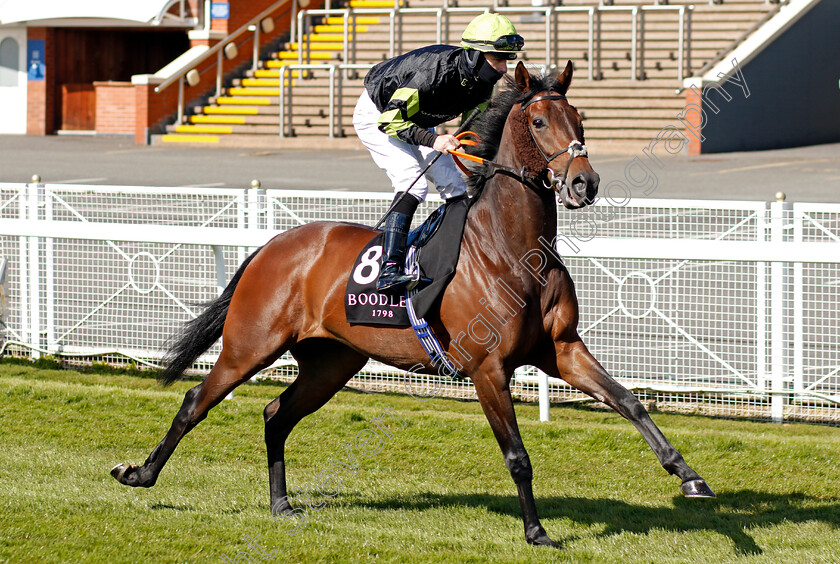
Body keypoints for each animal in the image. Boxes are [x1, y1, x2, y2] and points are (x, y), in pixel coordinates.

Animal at [111, 60, 712, 548]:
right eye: (540, 122)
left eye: (580, 118)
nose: (584, 183)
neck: (512, 249)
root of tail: (273, 246)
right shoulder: (487, 368)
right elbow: (517, 457)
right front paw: (537, 531)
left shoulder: (560, 349)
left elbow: (630, 402)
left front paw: (690, 476)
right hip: (249, 344)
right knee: (196, 400)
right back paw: (139, 474)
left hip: (331, 361)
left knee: (276, 414)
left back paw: (281, 503)